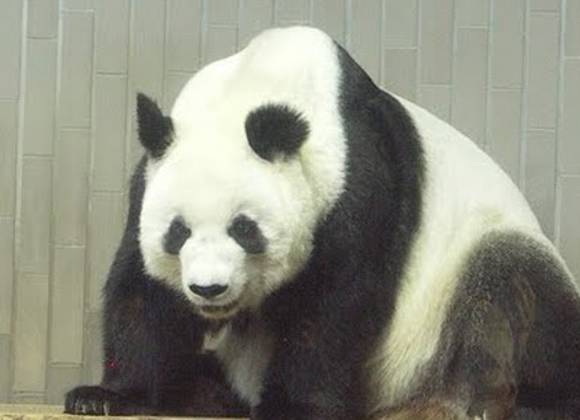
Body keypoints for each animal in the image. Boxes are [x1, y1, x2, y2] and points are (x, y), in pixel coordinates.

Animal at [65, 27, 580, 419]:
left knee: (512, 289)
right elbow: (143, 291)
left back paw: (493, 402)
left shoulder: (358, 176)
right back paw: (199, 393)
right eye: (178, 233)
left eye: (244, 229)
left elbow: (336, 300)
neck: (259, 84)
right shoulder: (148, 180)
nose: (209, 290)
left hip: (471, 272)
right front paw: (104, 396)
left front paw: (292, 406)